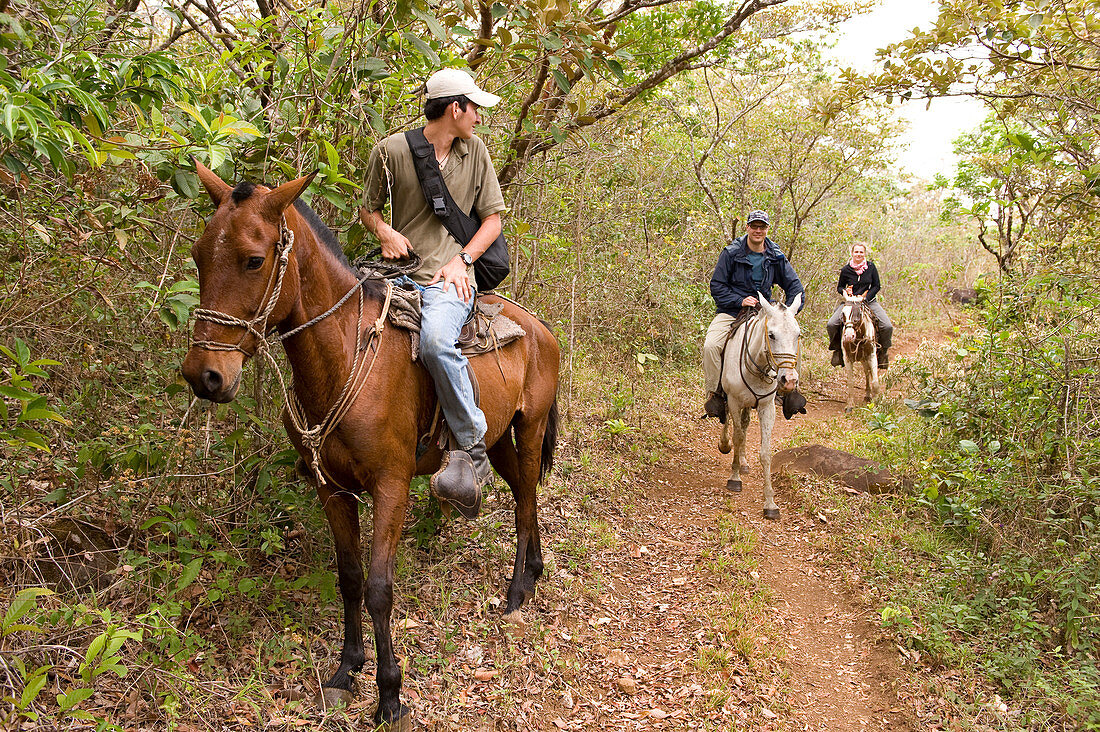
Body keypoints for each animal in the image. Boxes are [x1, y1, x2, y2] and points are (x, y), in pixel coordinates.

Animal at [717, 290, 805, 519]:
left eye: (797, 335)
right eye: (771, 335)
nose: (789, 380)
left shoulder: (767, 407)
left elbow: (765, 452)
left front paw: (770, 503)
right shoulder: (734, 400)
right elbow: (738, 437)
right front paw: (734, 479)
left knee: (745, 424)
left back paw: (744, 462)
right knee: (728, 419)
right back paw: (725, 445)